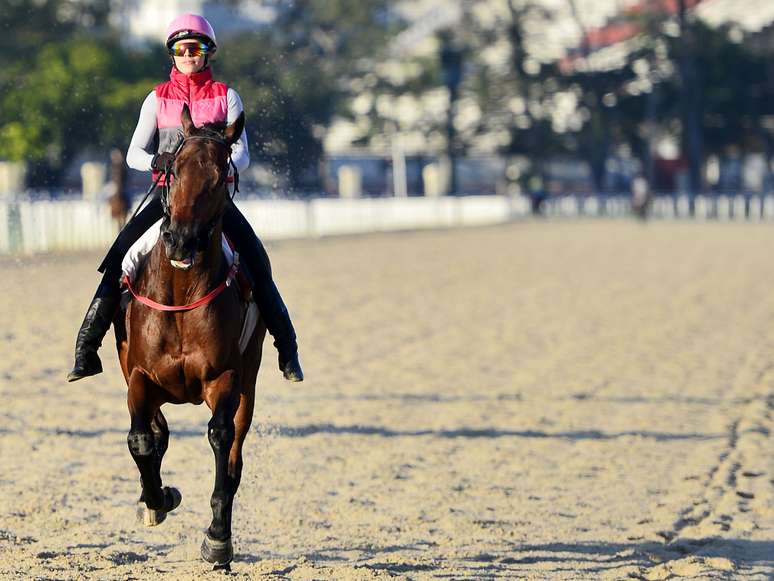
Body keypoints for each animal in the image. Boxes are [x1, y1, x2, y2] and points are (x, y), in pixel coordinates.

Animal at [112, 105, 268, 568]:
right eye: (174, 170)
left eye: (219, 177)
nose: (181, 240)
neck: (182, 295)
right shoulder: (140, 377)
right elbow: (142, 439)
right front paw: (156, 500)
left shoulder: (225, 378)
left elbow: (221, 440)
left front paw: (218, 539)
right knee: (156, 432)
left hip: (250, 380)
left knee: (233, 454)